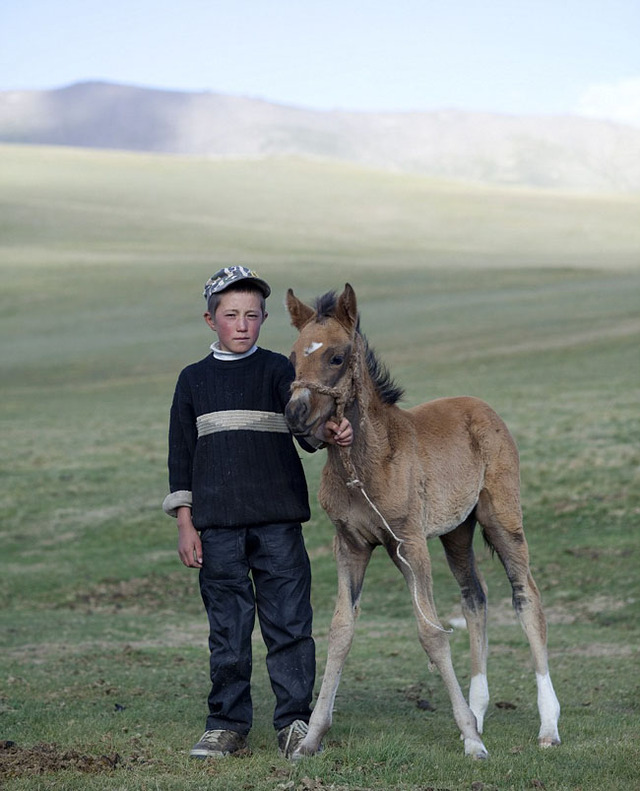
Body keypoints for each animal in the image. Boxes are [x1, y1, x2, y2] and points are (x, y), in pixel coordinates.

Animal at [284, 284, 560, 760]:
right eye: (292, 357)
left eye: (337, 356)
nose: (296, 414)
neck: (367, 462)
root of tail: (484, 408)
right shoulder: (350, 545)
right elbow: (340, 631)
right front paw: (312, 738)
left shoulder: (409, 543)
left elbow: (430, 633)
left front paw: (472, 743)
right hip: (456, 531)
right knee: (475, 597)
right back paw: (478, 711)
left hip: (501, 518)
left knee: (527, 597)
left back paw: (547, 726)